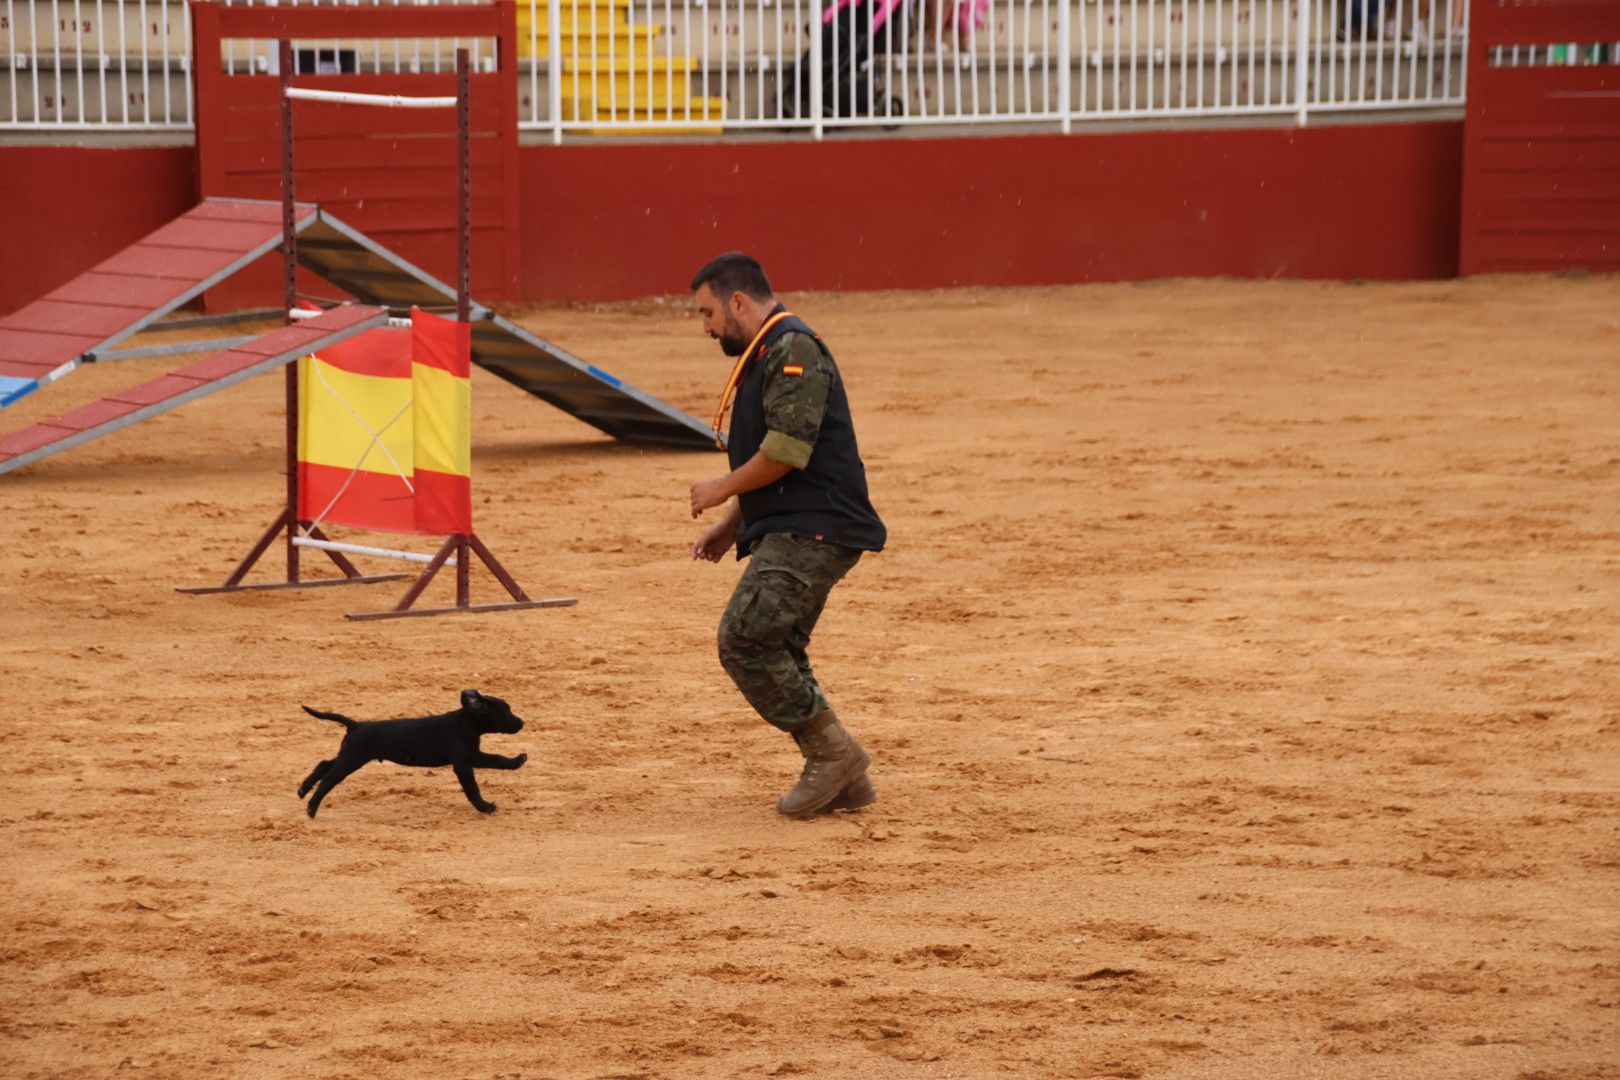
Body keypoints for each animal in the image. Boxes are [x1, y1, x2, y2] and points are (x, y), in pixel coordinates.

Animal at [301, 693, 528, 819]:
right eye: (505, 712)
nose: (521, 723)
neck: (465, 721)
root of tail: (356, 725)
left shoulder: (472, 757)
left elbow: (496, 760)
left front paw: (517, 761)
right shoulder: (464, 762)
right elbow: (474, 787)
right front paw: (485, 807)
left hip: (348, 756)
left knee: (324, 764)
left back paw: (302, 790)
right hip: (351, 760)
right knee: (328, 779)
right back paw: (311, 808)